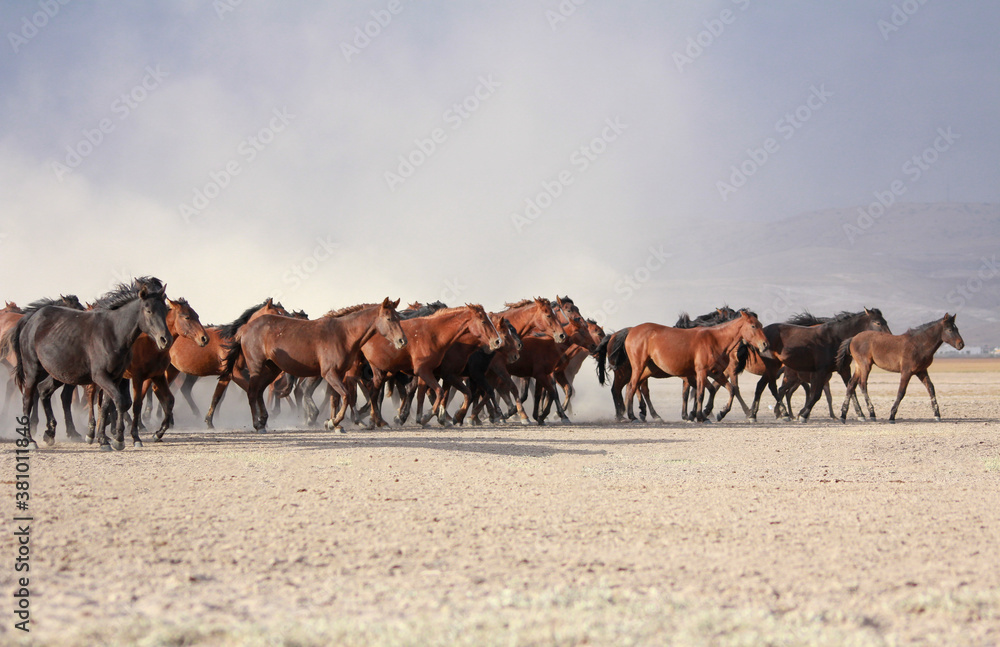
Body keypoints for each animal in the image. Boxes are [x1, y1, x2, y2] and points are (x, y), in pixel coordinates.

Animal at [0, 278, 171, 450]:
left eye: (165, 309)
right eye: (148, 311)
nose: (165, 340)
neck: (113, 332)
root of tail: (30, 319)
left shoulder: (115, 377)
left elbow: (106, 406)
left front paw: (103, 439)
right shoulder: (101, 376)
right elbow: (119, 401)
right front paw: (118, 439)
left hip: (59, 374)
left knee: (44, 390)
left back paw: (50, 433)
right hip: (33, 370)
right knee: (28, 400)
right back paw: (30, 440)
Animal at [223, 298, 407, 433]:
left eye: (399, 318)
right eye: (389, 318)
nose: (402, 341)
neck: (343, 334)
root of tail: (245, 329)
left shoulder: (339, 374)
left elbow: (335, 398)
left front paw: (334, 423)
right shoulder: (330, 374)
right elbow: (346, 396)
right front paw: (333, 422)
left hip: (271, 369)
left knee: (260, 391)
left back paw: (264, 420)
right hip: (257, 368)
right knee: (253, 393)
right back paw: (258, 424)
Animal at [623, 310, 771, 422]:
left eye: (760, 325)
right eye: (753, 326)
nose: (765, 344)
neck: (715, 340)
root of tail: (632, 331)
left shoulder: (716, 372)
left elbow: (727, 389)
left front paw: (718, 412)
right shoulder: (701, 372)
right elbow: (700, 393)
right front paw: (700, 416)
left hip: (648, 369)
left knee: (636, 387)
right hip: (639, 367)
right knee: (632, 386)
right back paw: (632, 416)